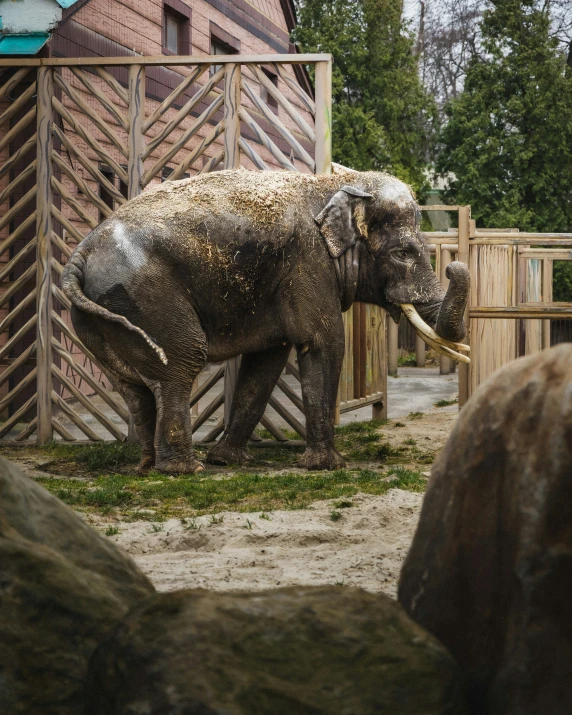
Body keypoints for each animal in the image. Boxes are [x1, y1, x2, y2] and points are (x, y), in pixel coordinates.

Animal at [61, 169, 470, 476]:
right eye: (404, 253)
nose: (453, 264)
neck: (334, 184)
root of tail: (79, 256)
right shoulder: (308, 262)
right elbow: (324, 343)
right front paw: (328, 466)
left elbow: (267, 360)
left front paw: (228, 460)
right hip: (146, 297)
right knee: (183, 360)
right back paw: (185, 469)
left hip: (102, 317)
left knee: (132, 385)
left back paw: (149, 466)